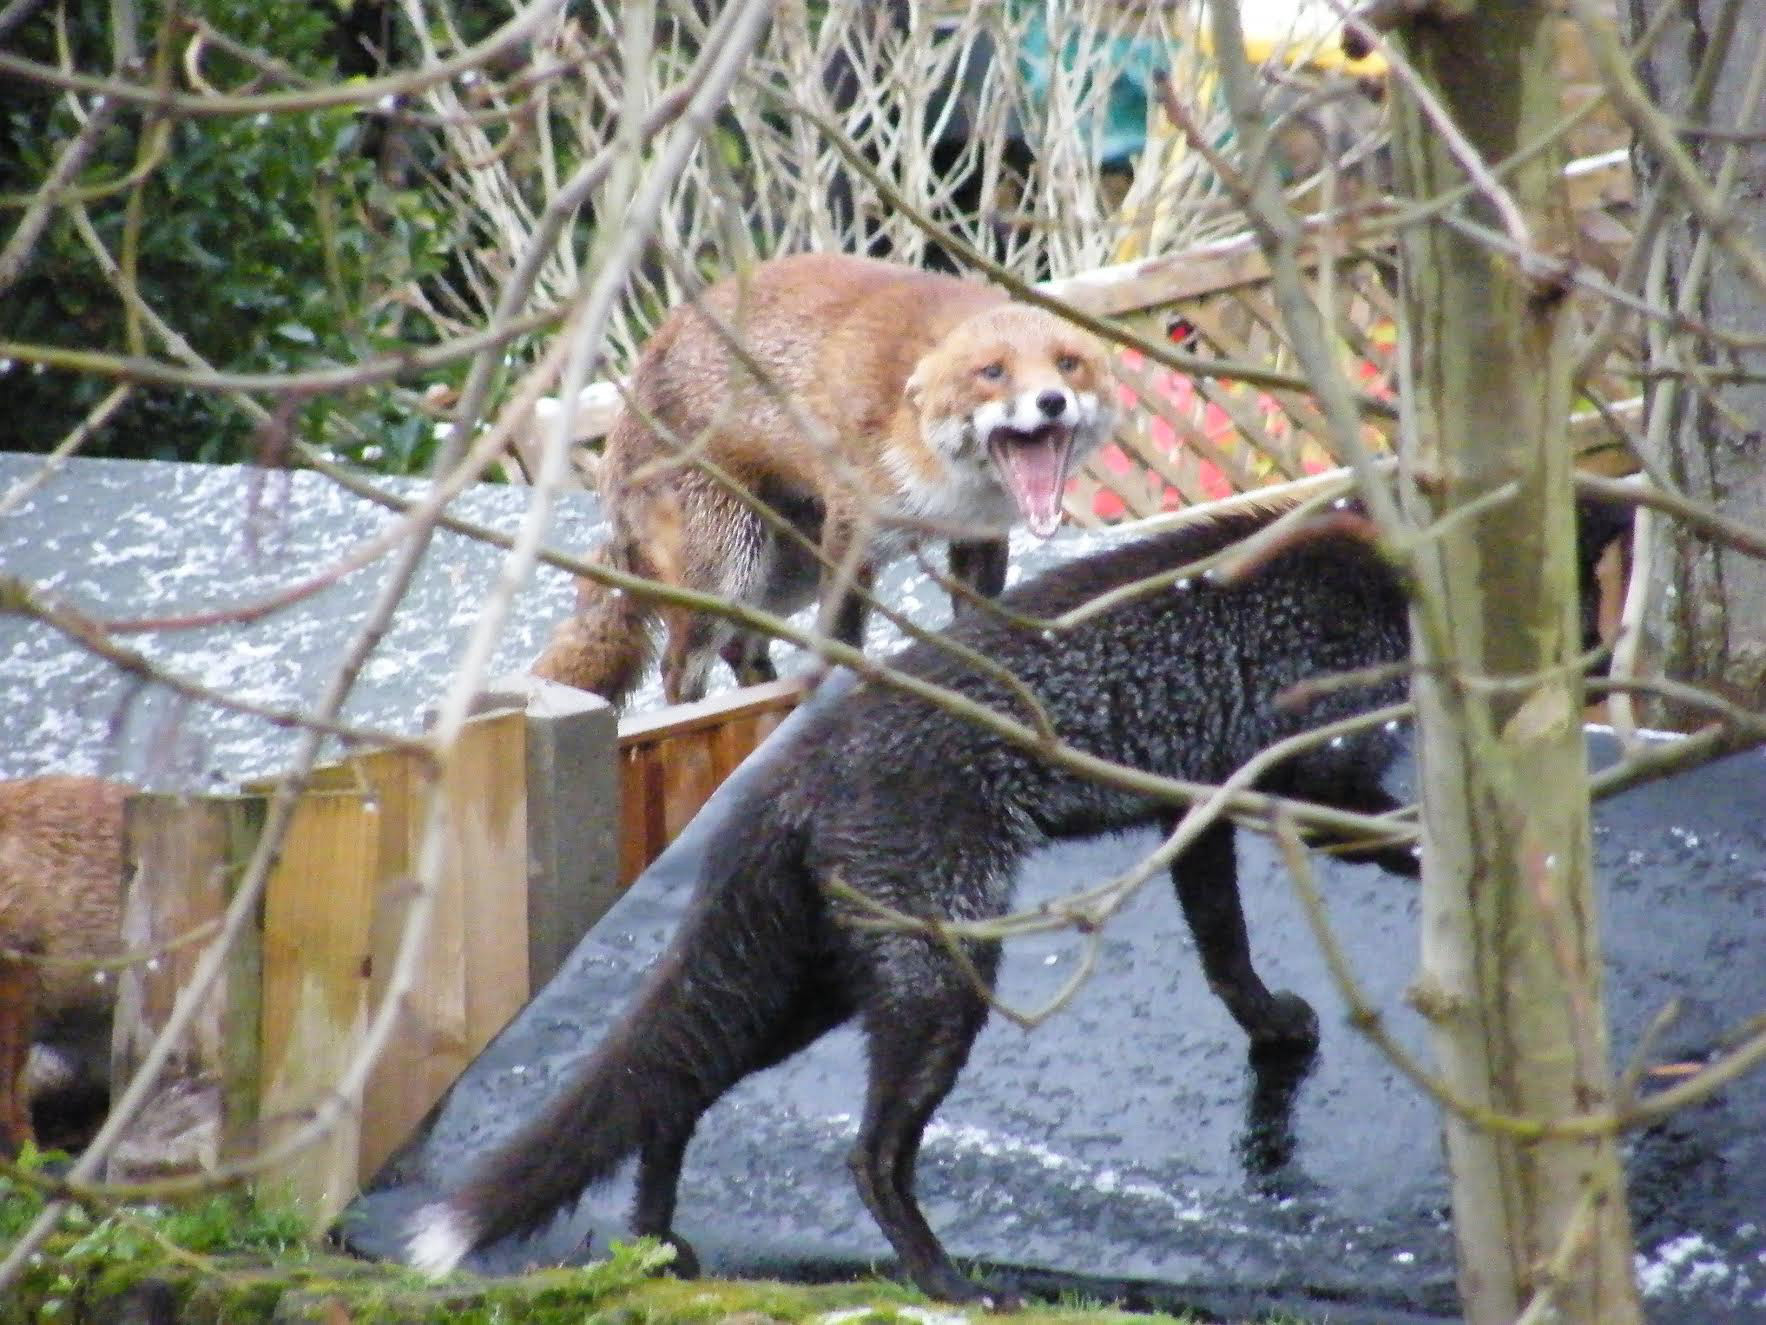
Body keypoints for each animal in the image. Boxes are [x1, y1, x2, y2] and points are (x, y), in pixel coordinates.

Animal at [404, 494, 1624, 1307]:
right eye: (1587, 611)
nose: (1608, 680)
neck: (1384, 587)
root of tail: (800, 760)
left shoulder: (1199, 816)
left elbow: (1224, 951)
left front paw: (1275, 1026)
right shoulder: (1308, 778)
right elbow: (1395, 837)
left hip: (829, 987)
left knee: (675, 1093)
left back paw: (662, 1247)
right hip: (944, 983)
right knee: (866, 1153)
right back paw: (944, 1280)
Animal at [526, 249, 1116, 706]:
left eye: (1068, 364)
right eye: (992, 372)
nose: (1051, 401)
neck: (950, 492)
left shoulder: (979, 537)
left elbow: (974, 627)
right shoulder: (854, 534)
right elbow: (842, 644)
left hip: (784, 578)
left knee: (743, 648)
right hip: (729, 571)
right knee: (680, 671)